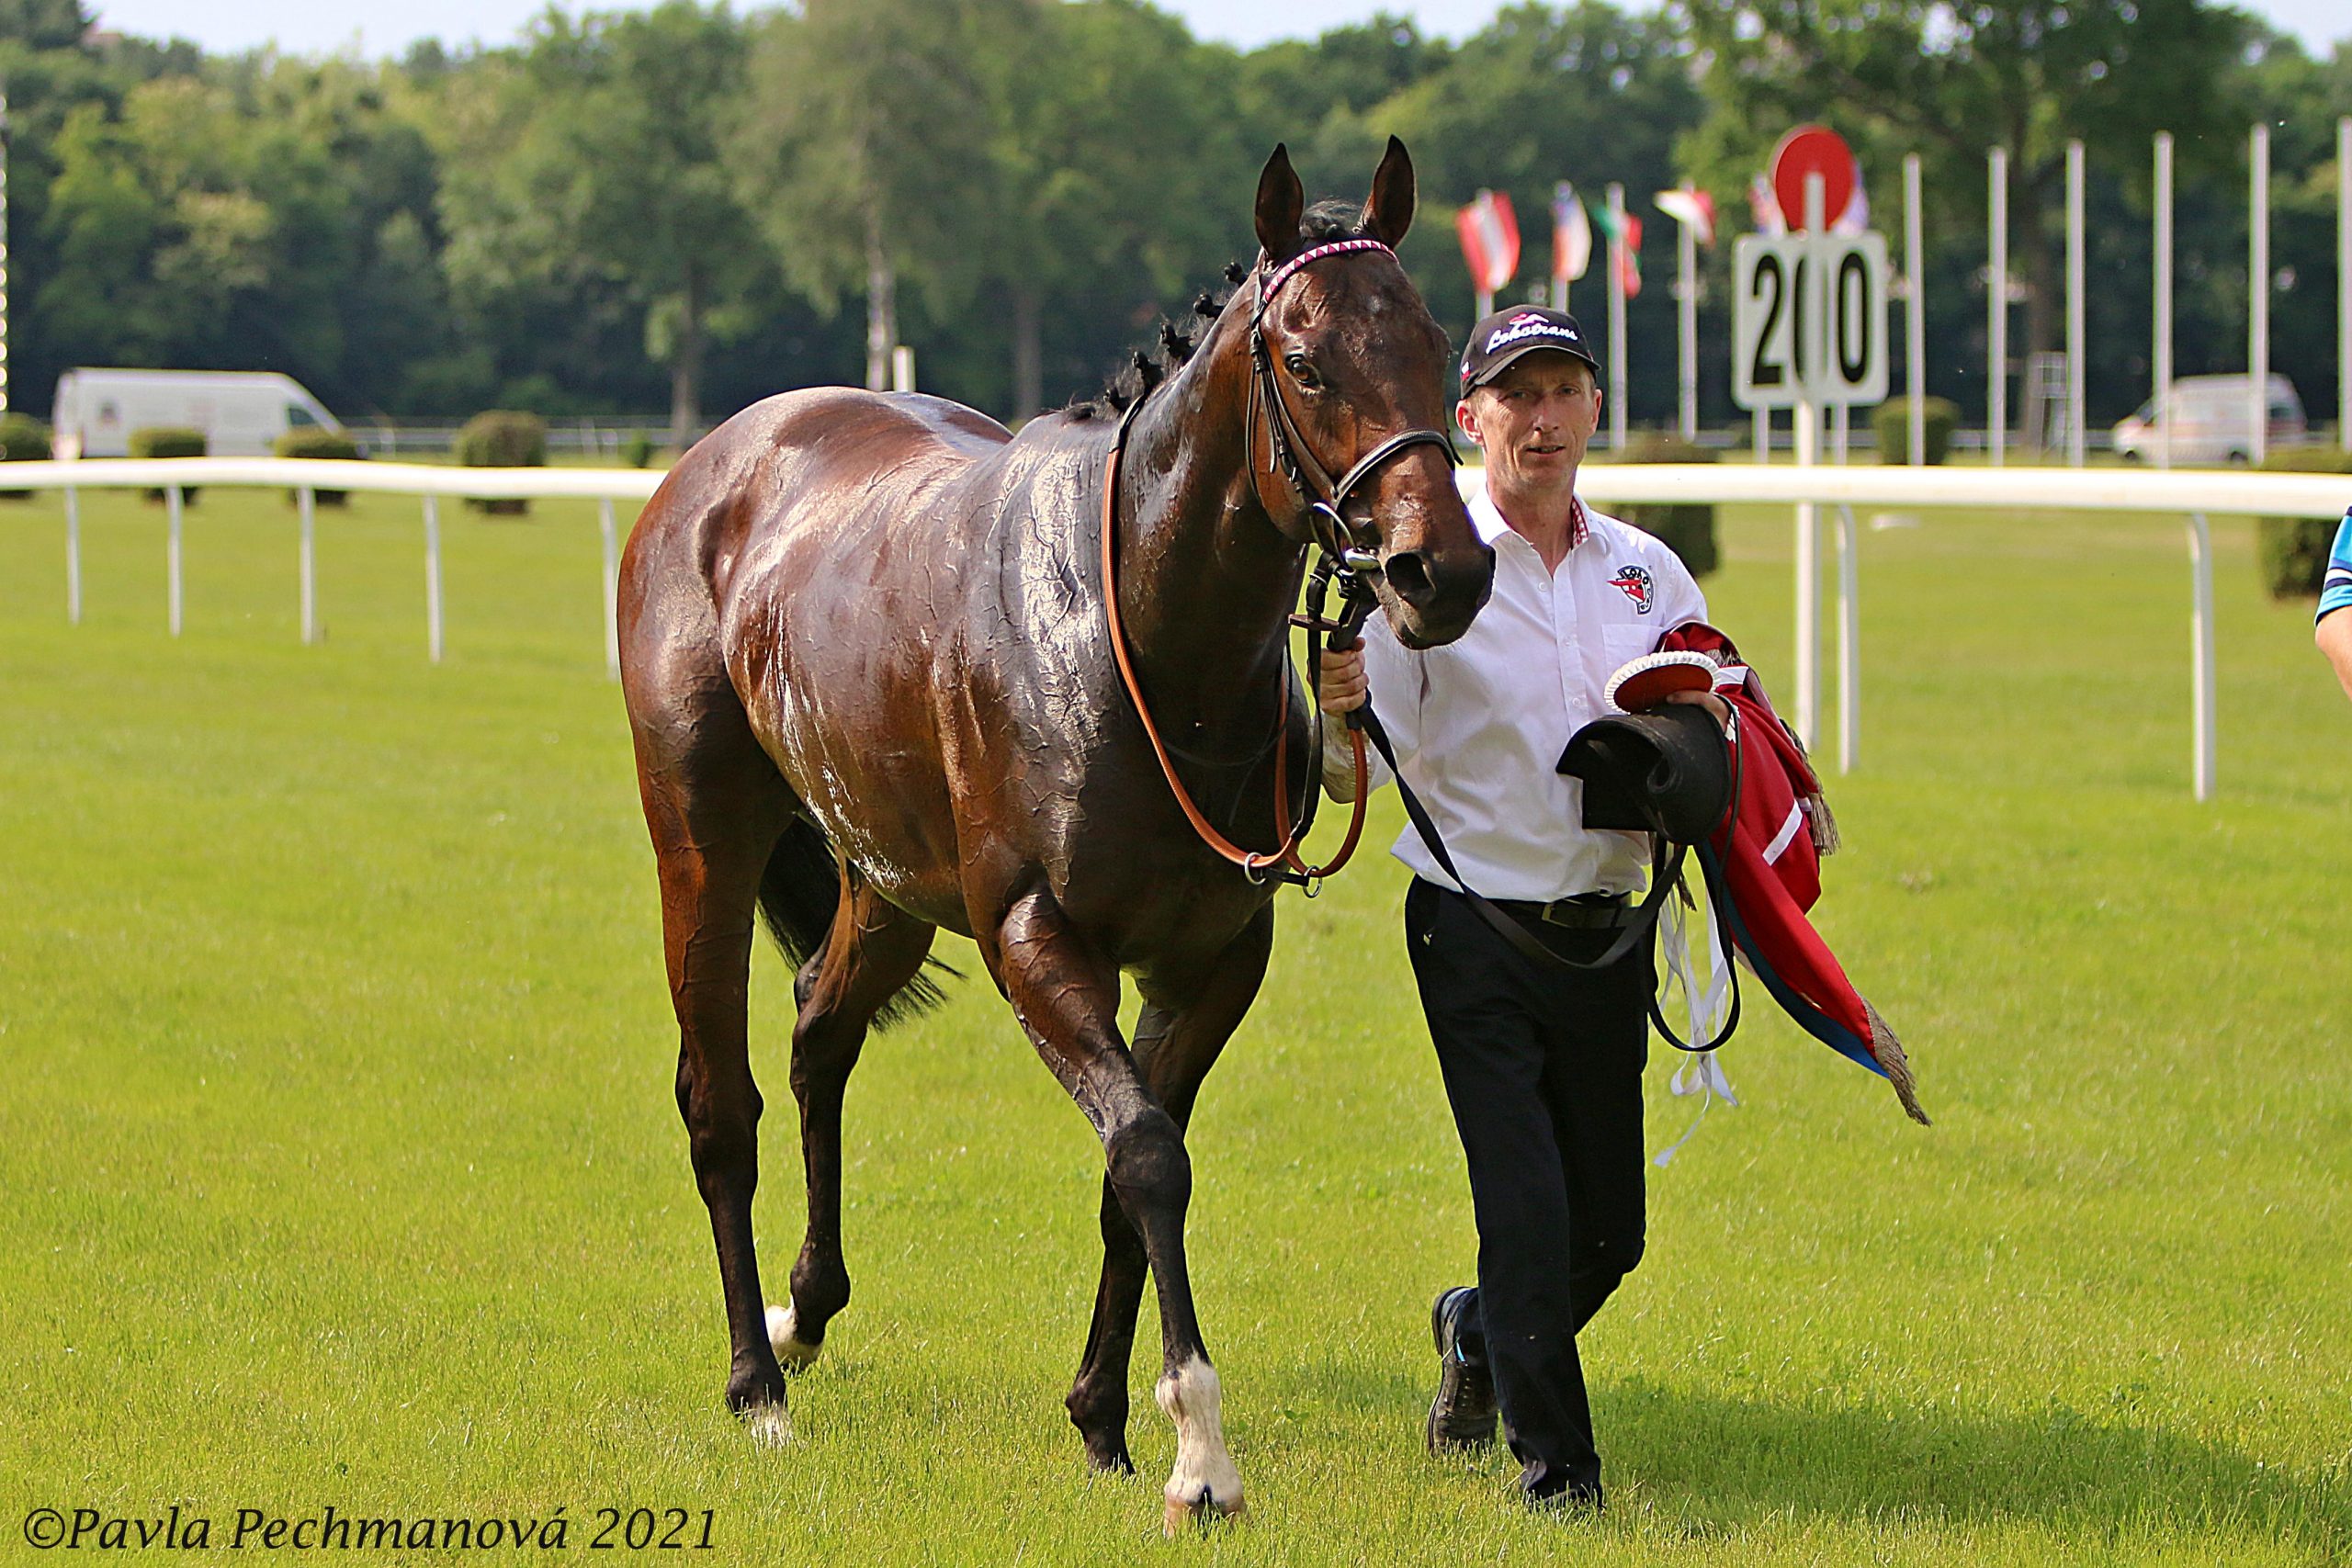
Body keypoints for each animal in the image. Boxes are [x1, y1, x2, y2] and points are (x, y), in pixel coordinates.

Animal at [606, 141, 1486, 1523]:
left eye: (1439, 342)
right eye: (1304, 360)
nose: (1437, 569)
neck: (1147, 648)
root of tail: (714, 465)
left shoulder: (1211, 959)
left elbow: (1136, 1169)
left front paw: (1105, 1417)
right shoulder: (1035, 934)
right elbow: (1148, 1153)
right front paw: (1197, 1447)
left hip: (888, 881)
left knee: (818, 1032)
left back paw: (807, 1306)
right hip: (703, 838)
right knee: (718, 1098)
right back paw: (757, 1379)